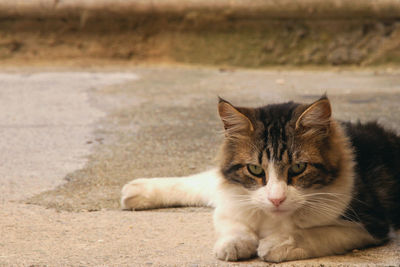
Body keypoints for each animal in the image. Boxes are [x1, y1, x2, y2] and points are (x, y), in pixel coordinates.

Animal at [119, 96, 400, 264]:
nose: (276, 199)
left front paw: (277, 244)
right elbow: (233, 224)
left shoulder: (370, 223)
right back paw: (135, 191)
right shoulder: (232, 196)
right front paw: (235, 244)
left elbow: (315, 233)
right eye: (255, 169)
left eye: (298, 167)